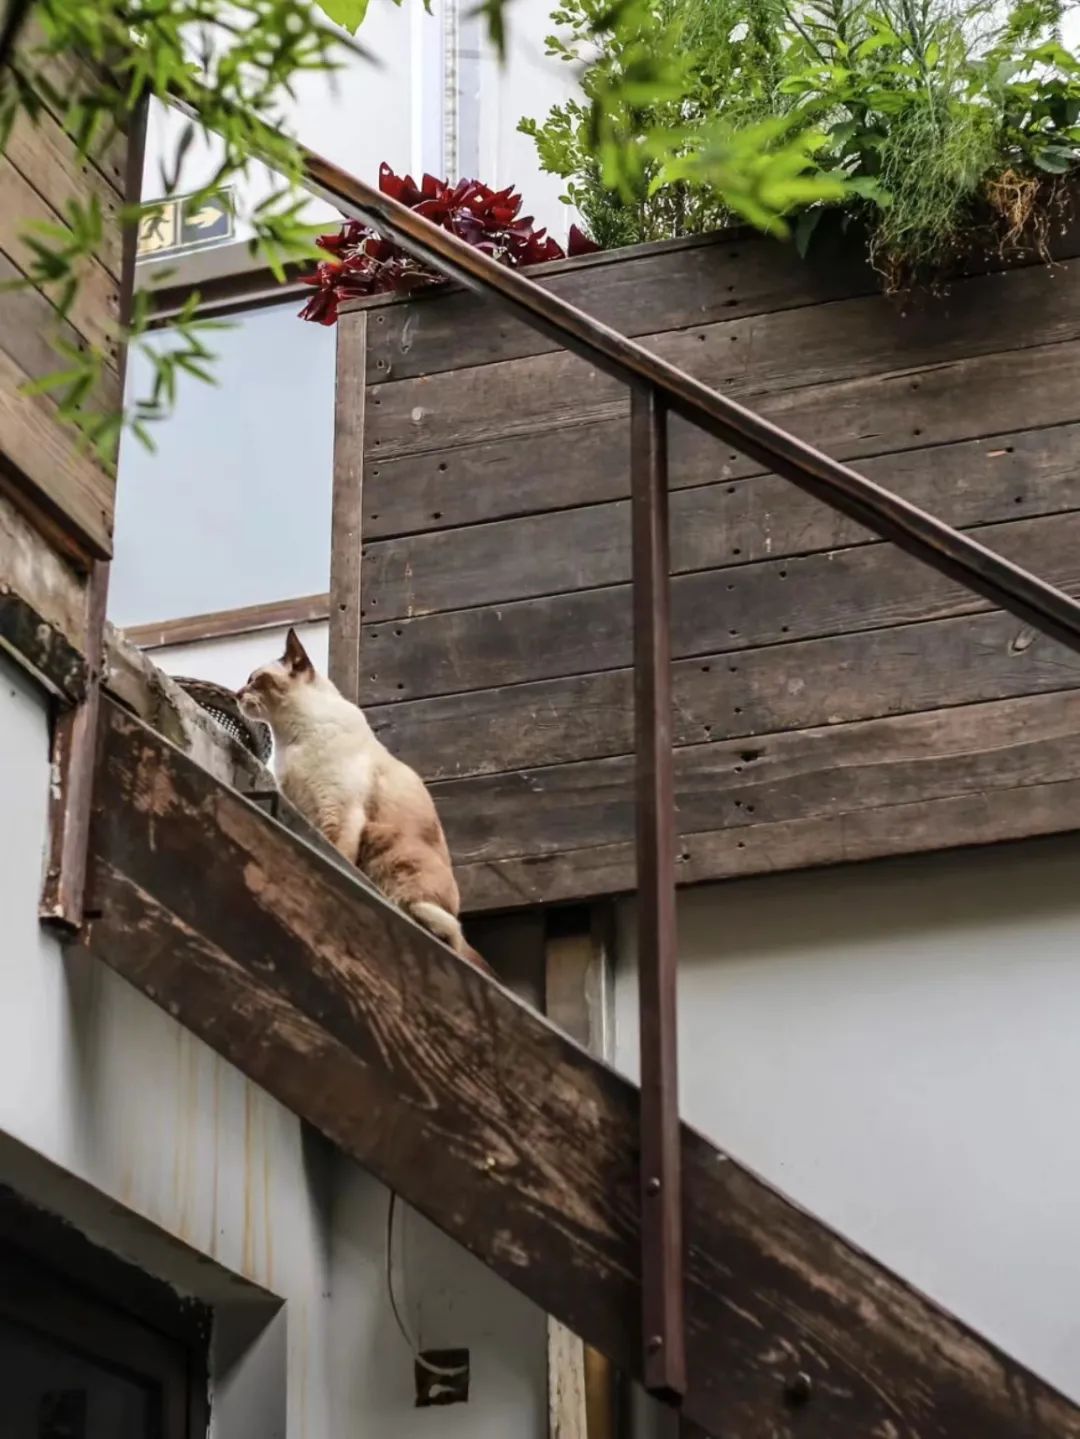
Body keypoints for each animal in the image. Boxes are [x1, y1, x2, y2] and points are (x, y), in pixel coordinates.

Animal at [240, 624, 488, 972]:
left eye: (255, 679)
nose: (237, 694)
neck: (291, 739)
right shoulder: (302, 806)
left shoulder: (337, 811)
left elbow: (336, 856)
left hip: (396, 852)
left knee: (446, 929)